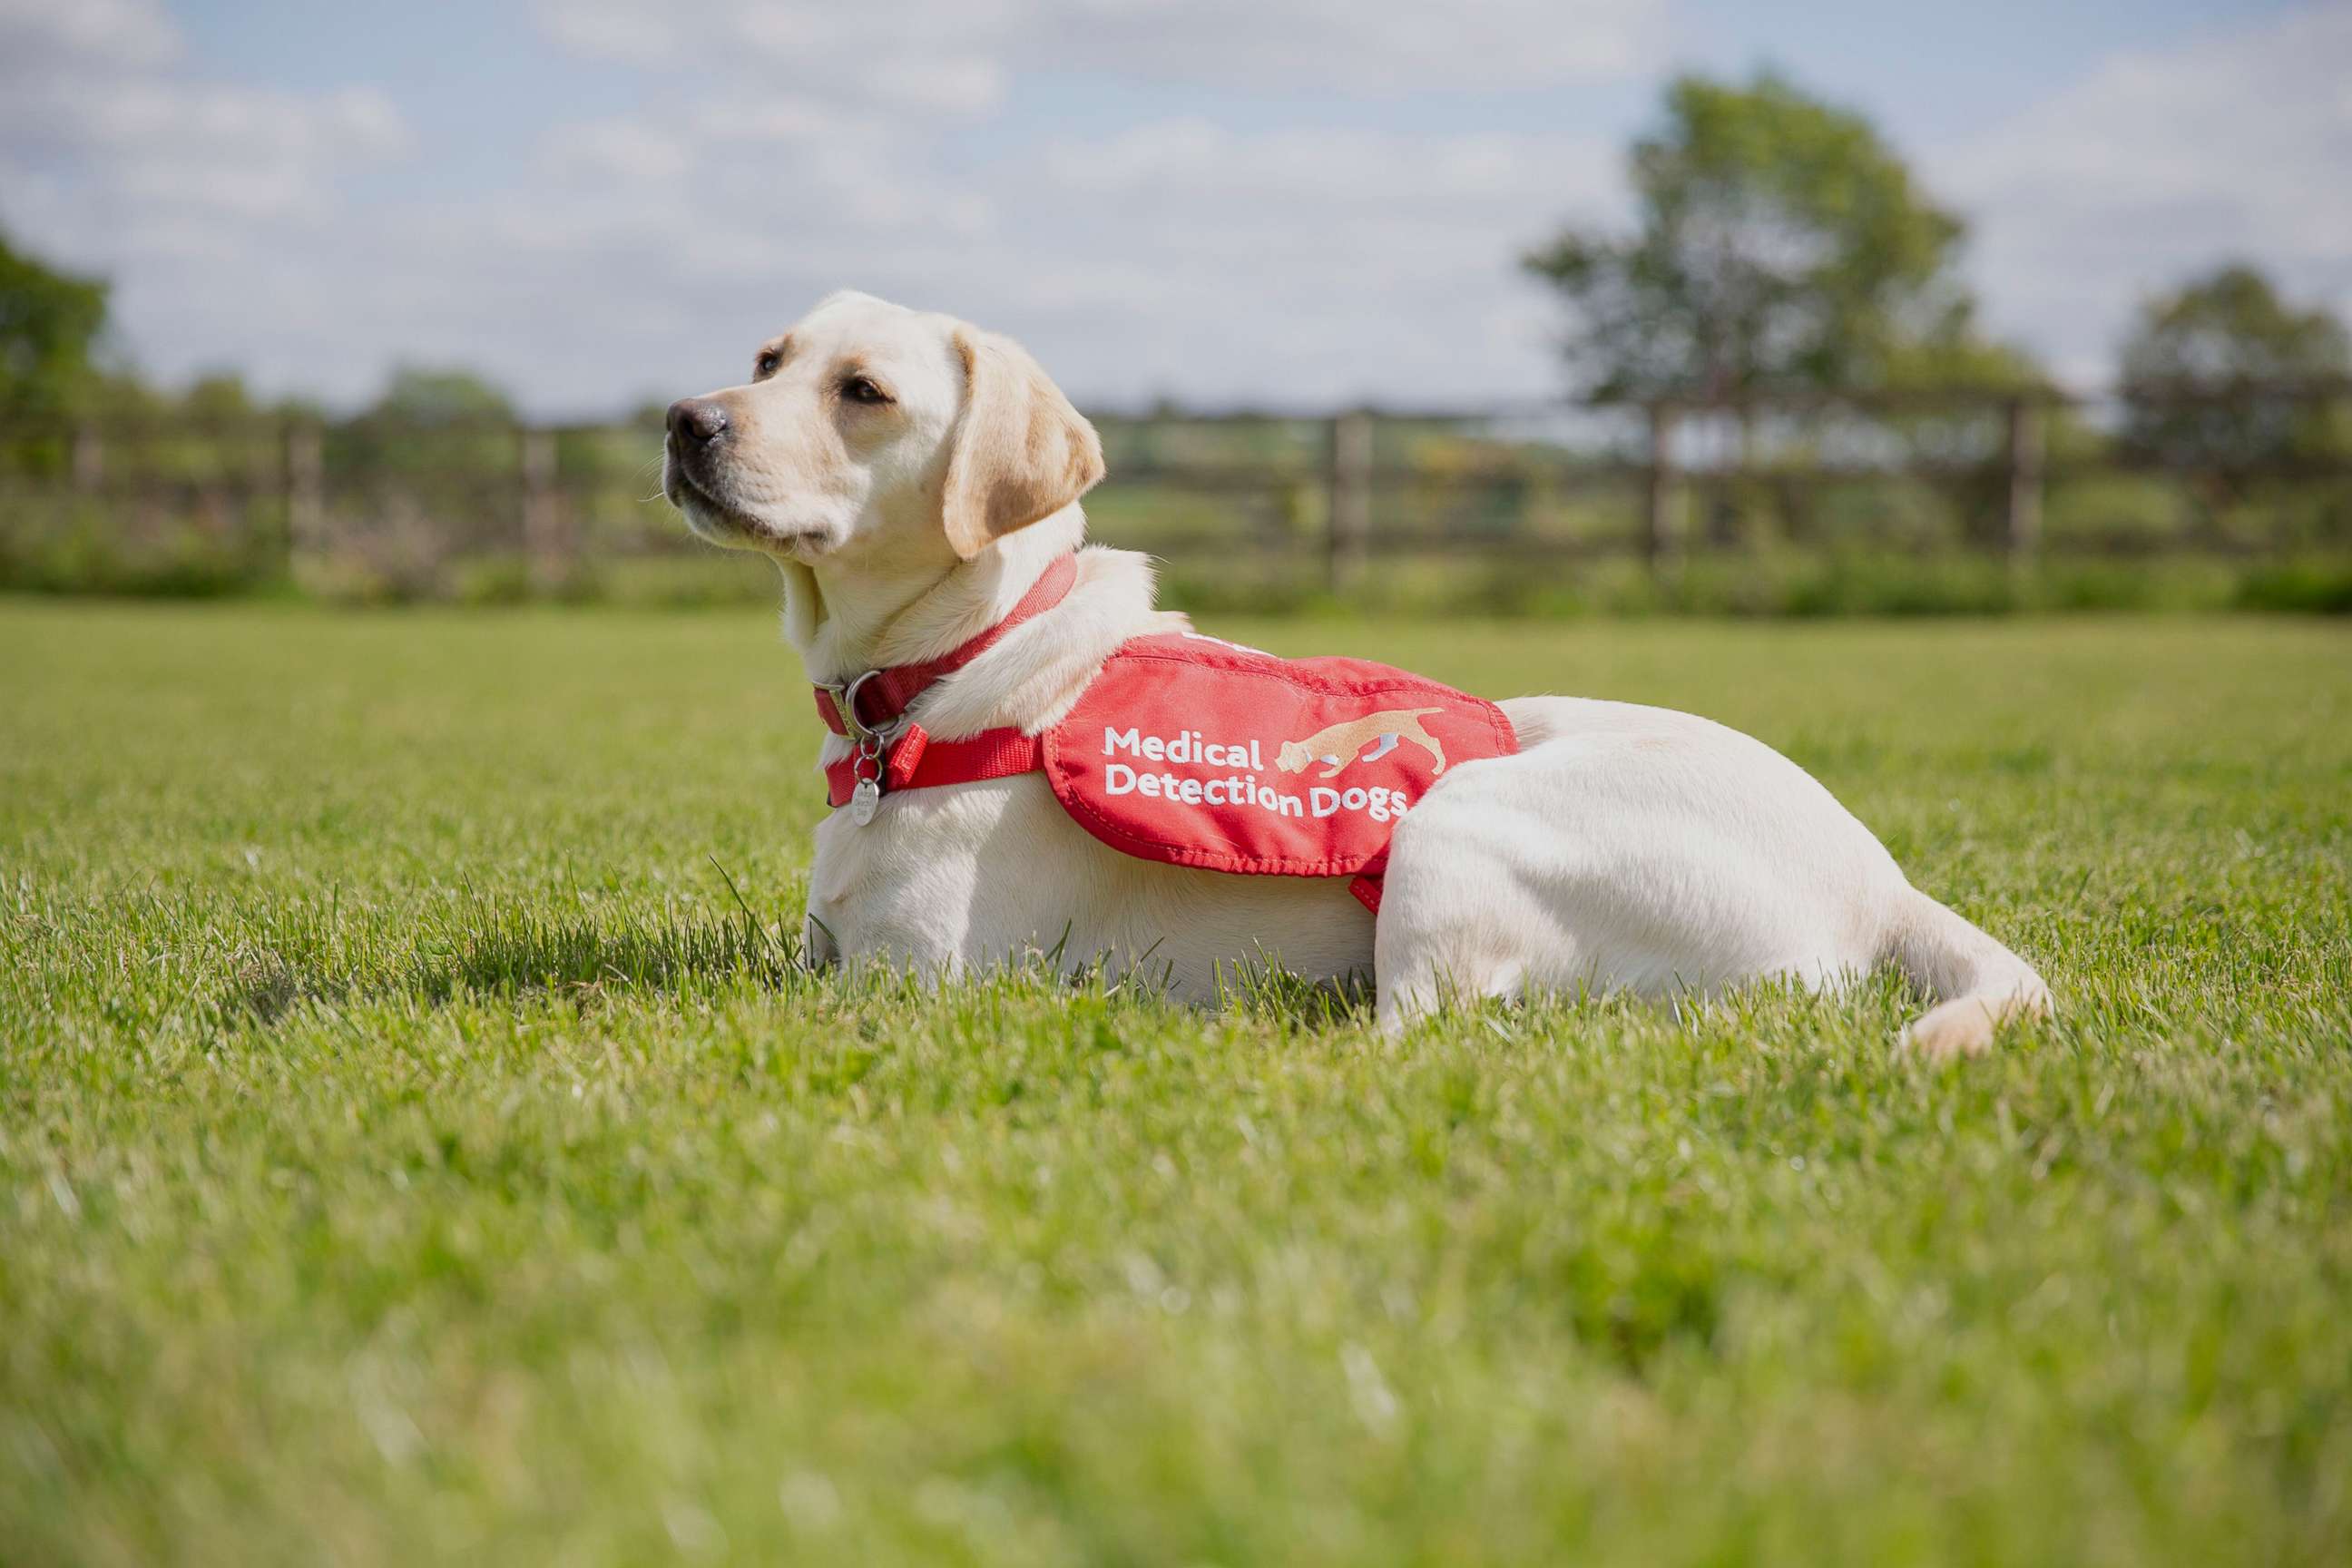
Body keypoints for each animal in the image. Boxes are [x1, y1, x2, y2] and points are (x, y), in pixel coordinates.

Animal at [658, 288, 2041, 1062]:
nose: (684, 420)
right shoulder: (822, 956)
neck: (963, 659)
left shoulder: (916, 985)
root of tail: (1884, 886)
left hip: (1458, 820)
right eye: (769, 359)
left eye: (865, 392)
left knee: (1420, 1040)